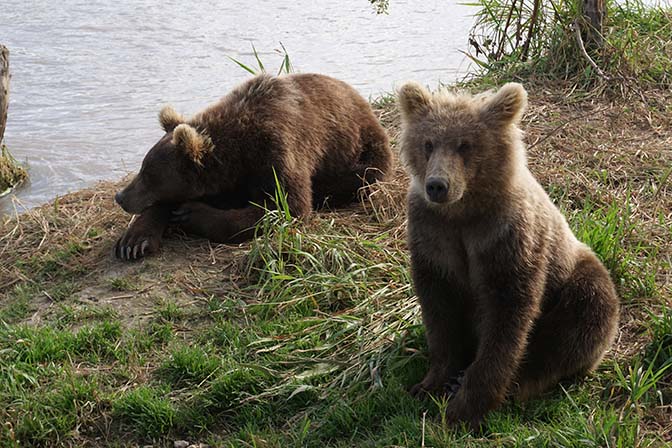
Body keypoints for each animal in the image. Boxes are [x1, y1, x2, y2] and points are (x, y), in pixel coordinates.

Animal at [113, 72, 392, 260]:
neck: (237, 155)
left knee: (358, 176)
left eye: (149, 175)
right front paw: (134, 241)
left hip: (366, 151)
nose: (120, 196)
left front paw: (192, 214)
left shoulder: (278, 150)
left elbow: (286, 206)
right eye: (143, 168)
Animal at [396, 80, 624, 428]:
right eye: (428, 143)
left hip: (577, 276)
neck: (463, 212)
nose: (437, 185)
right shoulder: (433, 235)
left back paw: (523, 383)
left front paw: (467, 405)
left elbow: (508, 315)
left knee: (580, 320)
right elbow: (439, 310)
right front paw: (430, 383)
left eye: (465, 145)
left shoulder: (505, 237)